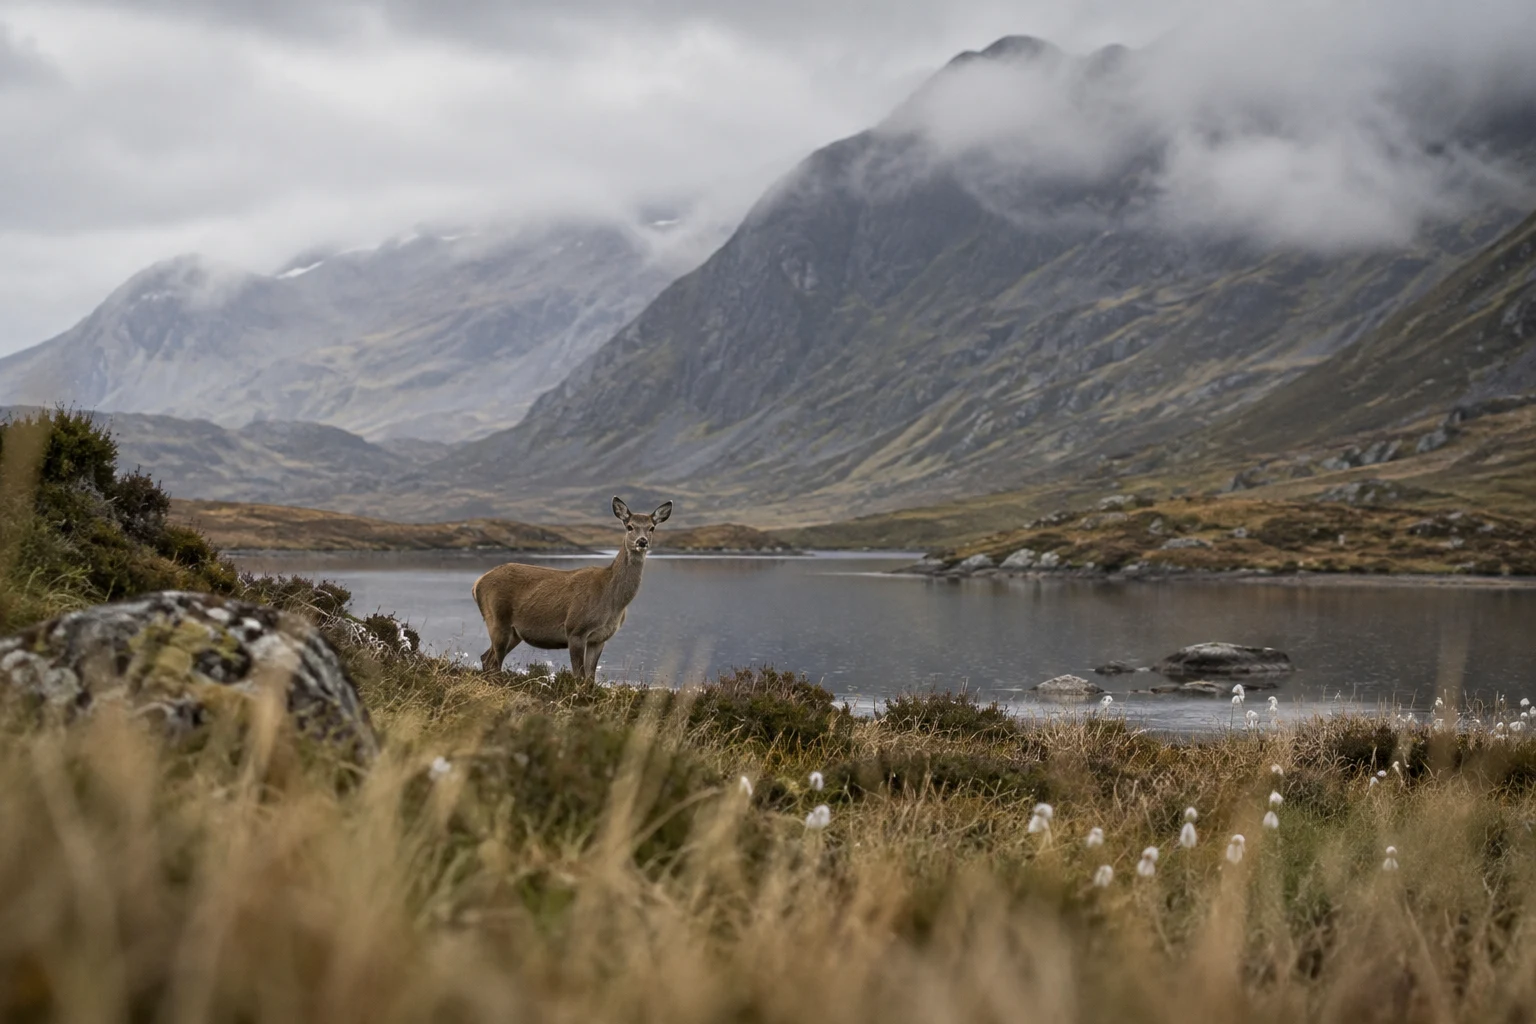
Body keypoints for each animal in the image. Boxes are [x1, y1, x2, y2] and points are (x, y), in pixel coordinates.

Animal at [471, 497, 673, 680]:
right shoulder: (576, 629)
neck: (612, 601)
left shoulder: (599, 638)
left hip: (514, 632)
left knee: (485, 658)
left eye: (652, 527)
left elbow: (590, 679)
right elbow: (579, 677)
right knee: (493, 661)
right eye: (629, 526)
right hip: (497, 618)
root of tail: (477, 584)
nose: (642, 541)